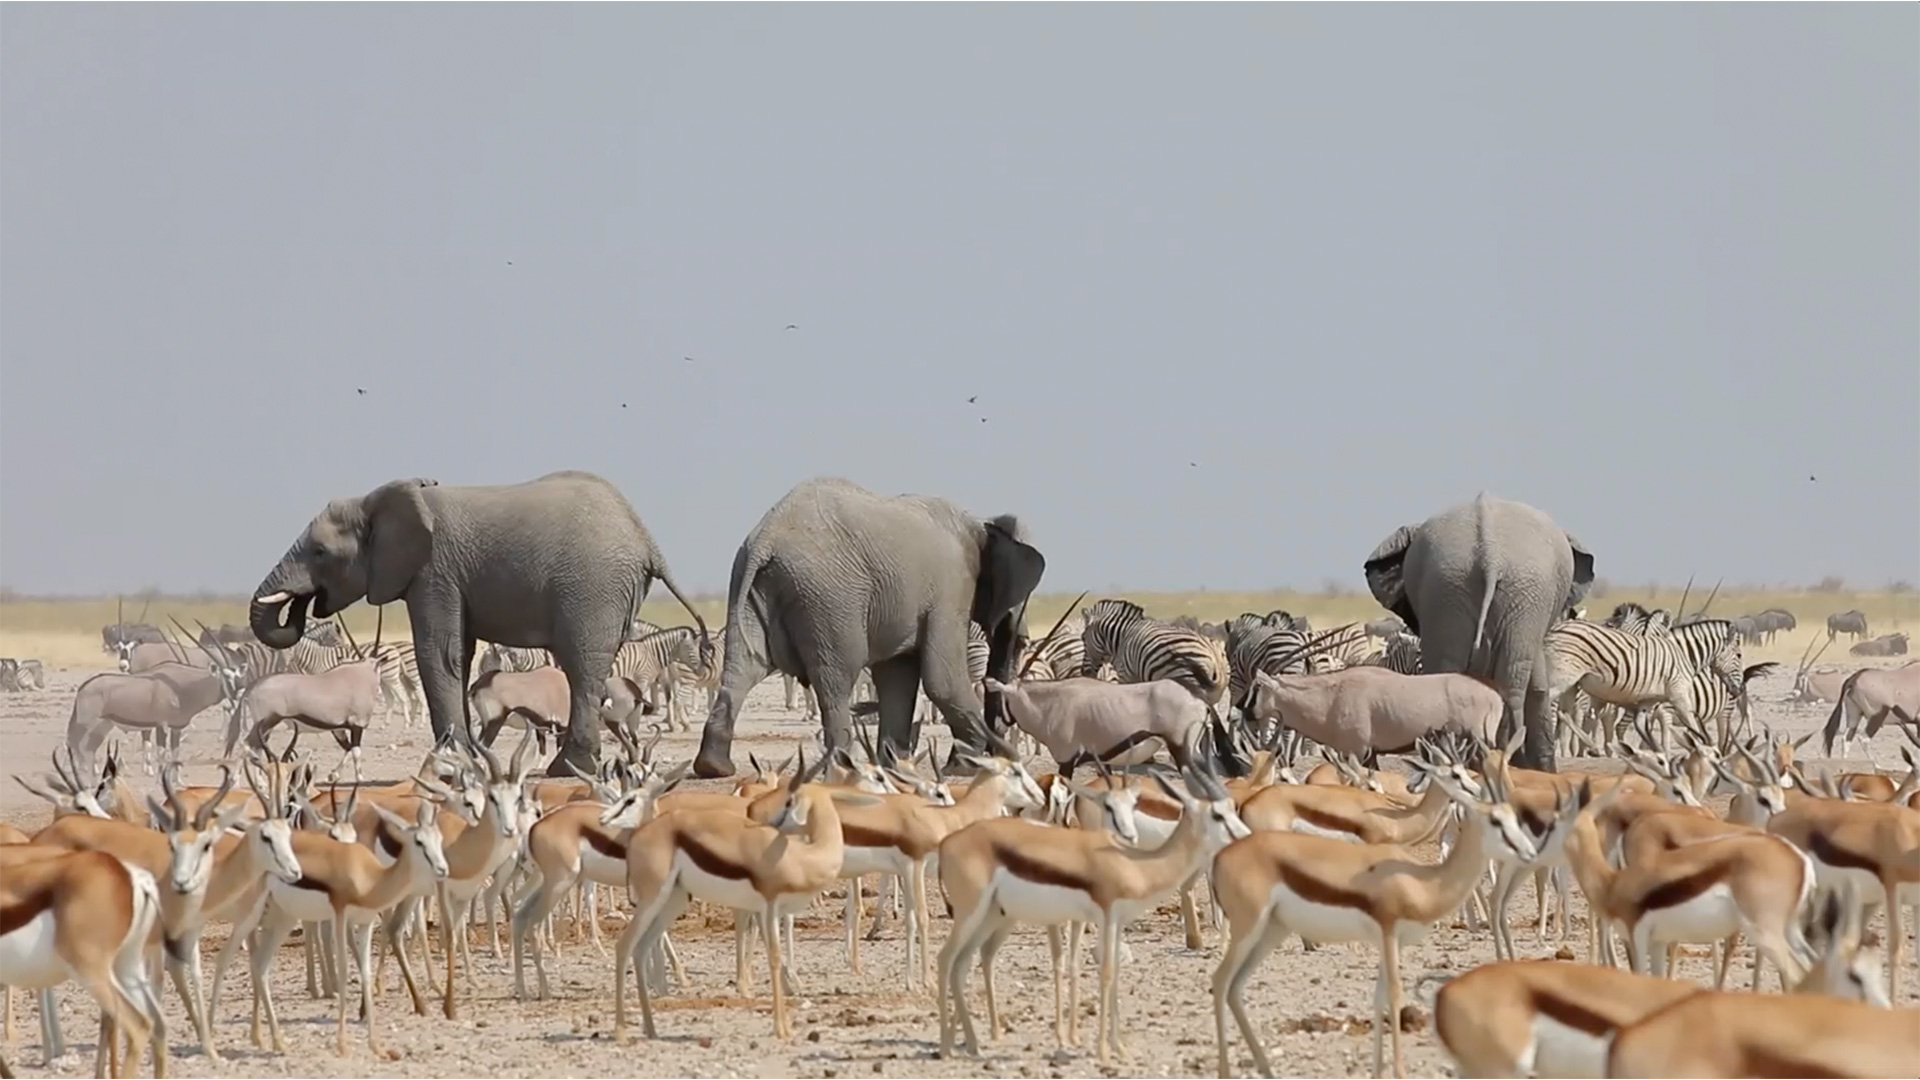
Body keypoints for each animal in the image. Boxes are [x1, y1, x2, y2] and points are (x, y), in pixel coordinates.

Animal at [247, 470, 710, 772]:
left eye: (320, 552)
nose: (305, 605)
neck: (380, 500)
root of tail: (646, 539)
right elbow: (460, 652)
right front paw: (467, 757)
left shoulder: (433, 570)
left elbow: (440, 652)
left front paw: (453, 761)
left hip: (592, 586)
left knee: (581, 665)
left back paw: (568, 769)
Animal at [691, 476, 1044, 772]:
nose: (1004, 753)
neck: (983, 525)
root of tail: (766, 538)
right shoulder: (952, 587)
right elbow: (941, 679)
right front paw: (964, 766)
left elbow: (897, 674)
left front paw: (896, 764)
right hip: (829, 597)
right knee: (837, 677)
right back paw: (840, 765)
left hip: (751, 586)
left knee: (743, 669)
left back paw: (714, 767)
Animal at [1082, 595, 1228, 707]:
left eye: (1083, 637)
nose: (1085, 672)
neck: (1122, 637)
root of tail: (1213, 654)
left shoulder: (1127, 676)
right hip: (1215, 690)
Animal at [1536, 614, 1751, 749]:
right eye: (1739, 655)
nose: (1739, 689)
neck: (1683, 654)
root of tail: (1555, 628)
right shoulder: (1679, 696)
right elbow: (1694, 728)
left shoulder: (1646, 703)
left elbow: (1649, 738)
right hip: (1561, 679)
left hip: (1572, 684)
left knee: (1564, 714)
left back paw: (1591, 746)